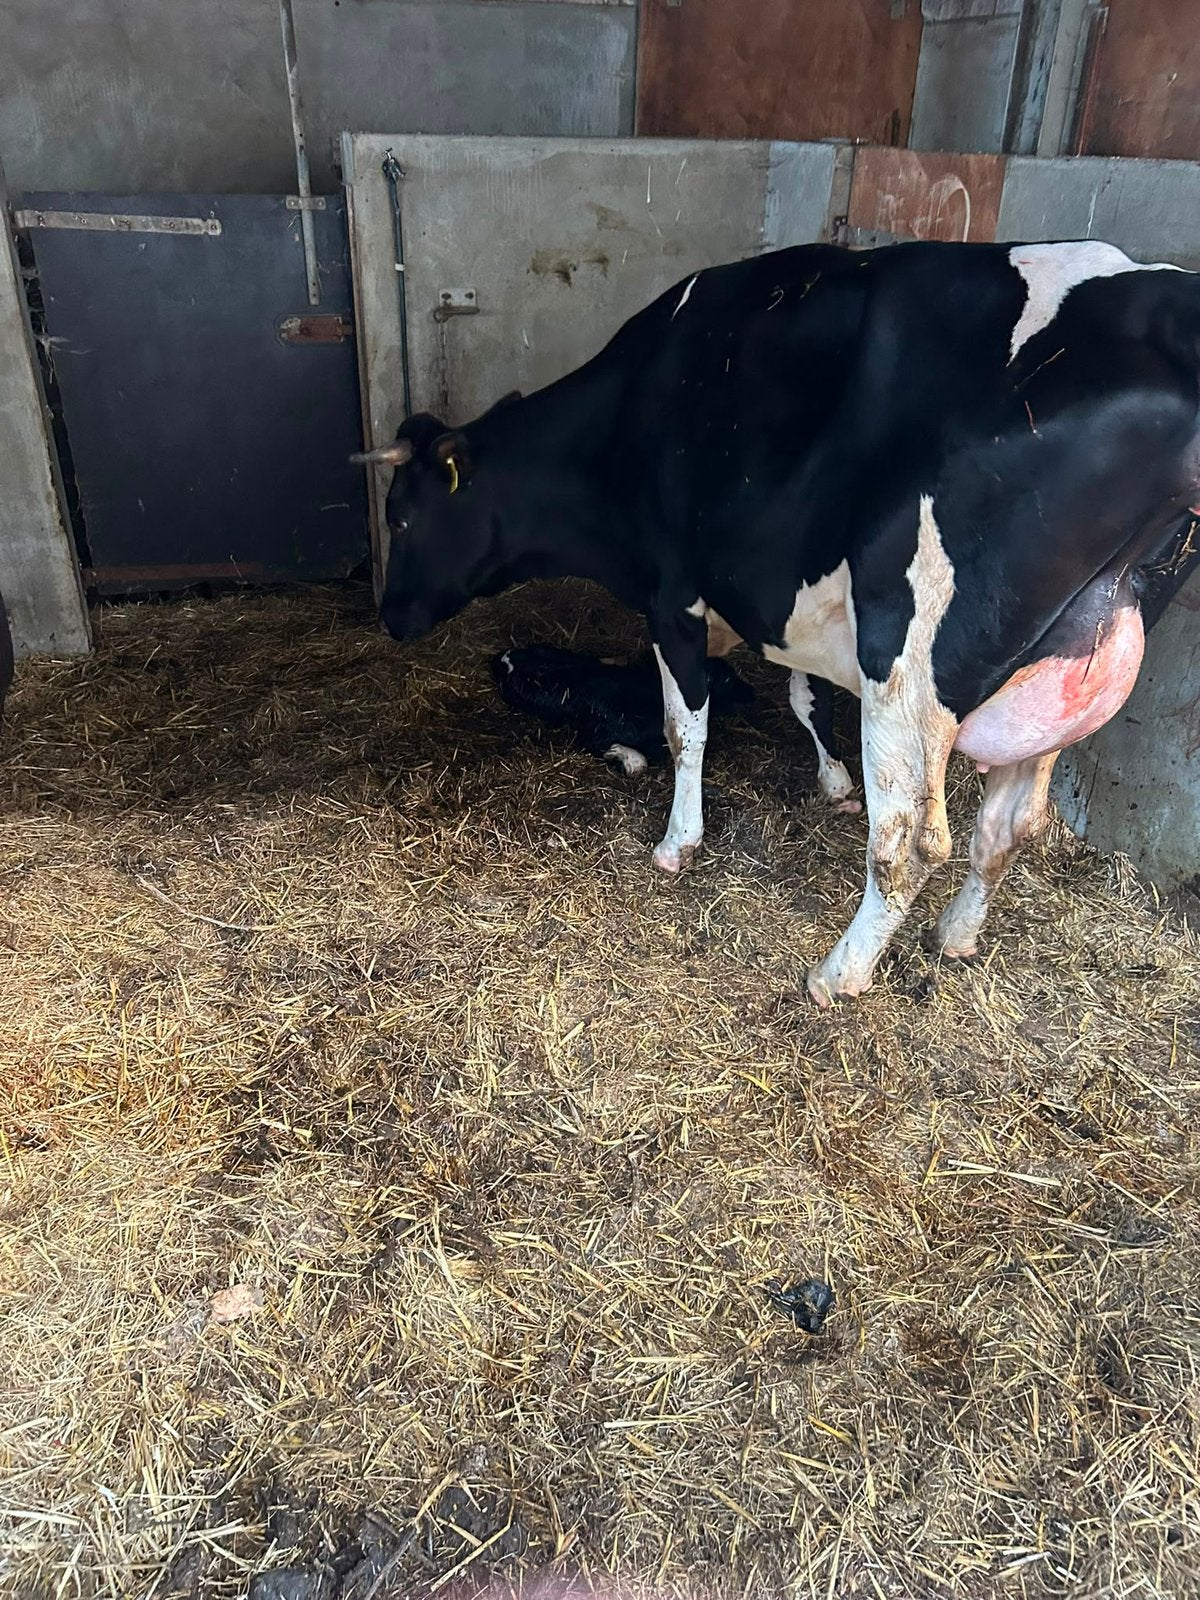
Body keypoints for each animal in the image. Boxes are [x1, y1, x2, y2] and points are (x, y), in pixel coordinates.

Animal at [355, 239, 1200, 1005]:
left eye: (400, 517)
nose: (389, 616)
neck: (625, 417)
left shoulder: (673, 593)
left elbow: (684, 726)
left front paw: (678, 842)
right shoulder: (775, 593)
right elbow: (800, 692)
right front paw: (831, 780)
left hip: (908, 659)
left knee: (909, 840)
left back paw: (838, 975)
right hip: (1073, 654)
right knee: (1012, 823)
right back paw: (957, 935)